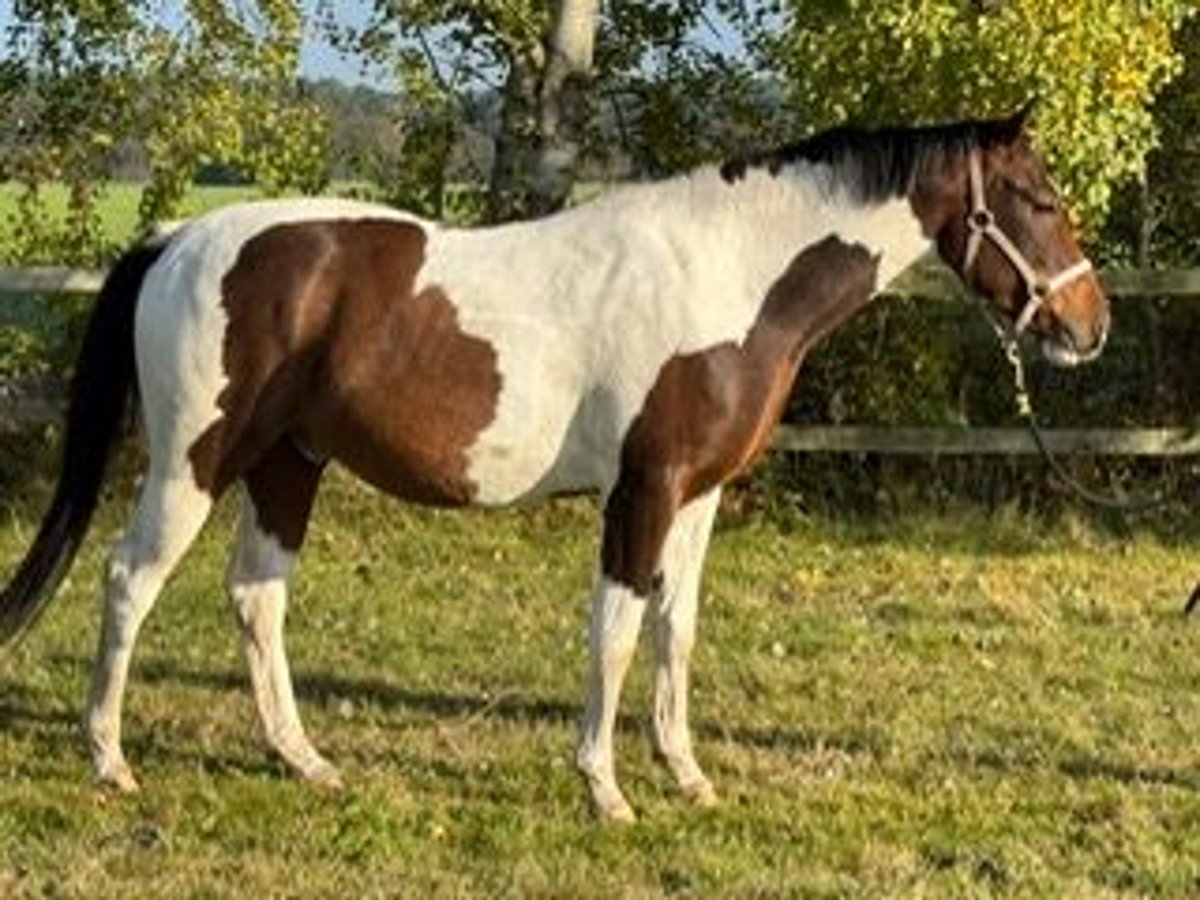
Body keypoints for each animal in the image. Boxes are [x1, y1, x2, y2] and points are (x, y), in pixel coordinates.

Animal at [0, 105, 1104, 825]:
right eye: (1039, 198)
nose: (1089, 327)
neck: (727, 277)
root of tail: (178, 237)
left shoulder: (699, 499)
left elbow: (676, 634)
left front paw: (687, 775)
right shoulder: (644, 492)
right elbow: (614, 633)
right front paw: (605, 789)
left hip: (288, 464)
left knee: (255, 597)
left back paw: (305, 761)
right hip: (195, 462)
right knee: (129, 581)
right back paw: (109, 761)